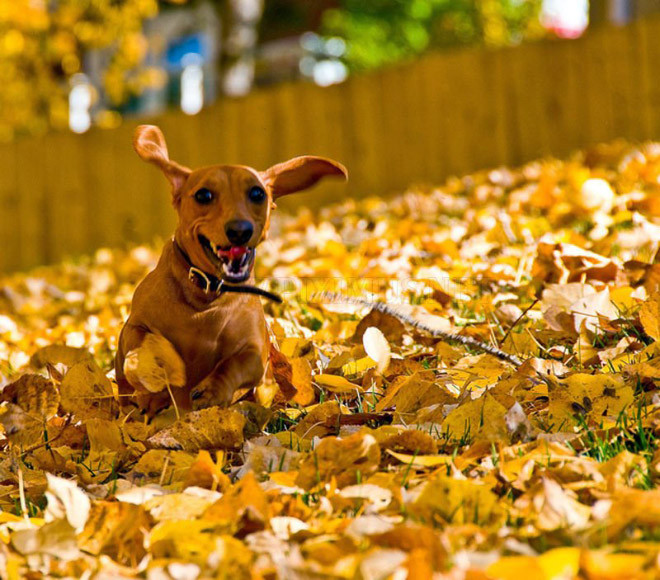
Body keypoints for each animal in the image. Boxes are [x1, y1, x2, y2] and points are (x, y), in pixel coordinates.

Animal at [116, 125, 348, 416]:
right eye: (203, 195)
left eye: (258, 194)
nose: (239, 230)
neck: (205, 297)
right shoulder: (133, 327)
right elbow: (144, 341)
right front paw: (163, 366)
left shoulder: (254, 350)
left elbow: (234, 364)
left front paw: (211, 390)